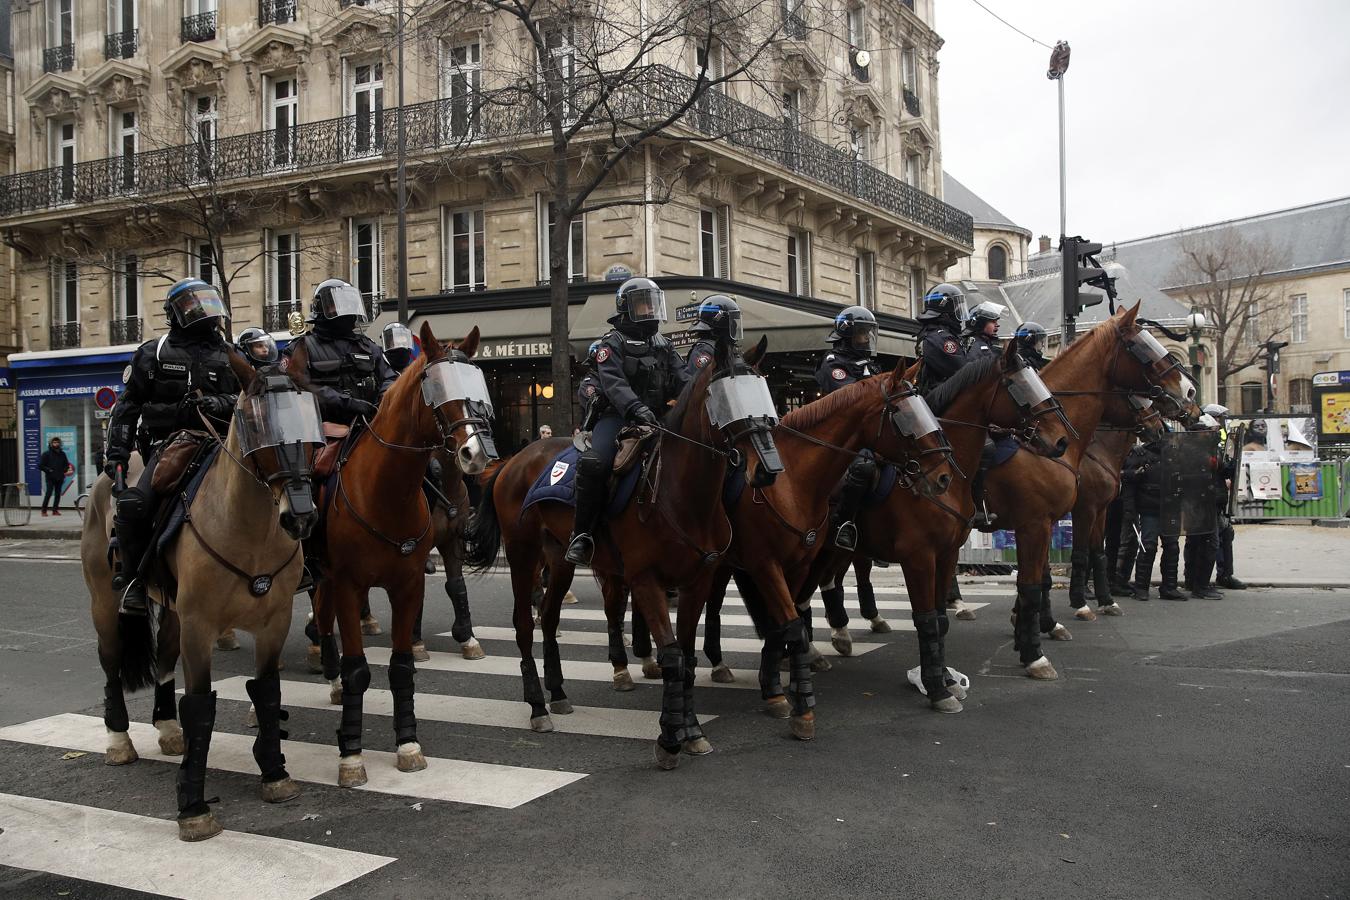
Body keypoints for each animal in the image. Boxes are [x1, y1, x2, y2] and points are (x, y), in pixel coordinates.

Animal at [81, 356, 321, 841]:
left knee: (163, 661)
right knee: (112, 666)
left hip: (173, 613)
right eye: (255, 423)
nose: (301, 517)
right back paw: (119, 739)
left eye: (309, 419)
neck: (249, 530)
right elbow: (200, 707)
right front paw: (193, 807)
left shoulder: (274, 622)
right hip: (106, 606)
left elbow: (267, 692)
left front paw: (274, 774)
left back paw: (167, 728)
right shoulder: (200, 627)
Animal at [292, 323, 494, 788]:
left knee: (322, 615)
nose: (476, 455)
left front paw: (408, 745)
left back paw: (327, 673)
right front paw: (351, 755)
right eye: (436, 388)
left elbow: (403, 664)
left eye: (477, 385)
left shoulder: (411, 578)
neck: (384, 490)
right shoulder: (349, 585)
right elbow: (359, 670)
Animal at [469, 335, 777, 766]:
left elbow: (686, 656)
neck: (681, 492)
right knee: (525, 624)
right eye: (725, 398)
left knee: (548, 618)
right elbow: (671, 656)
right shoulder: (645, 581)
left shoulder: (696, 581)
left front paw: (691, 731)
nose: (767, 468)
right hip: (521, 554)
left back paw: (558, 693)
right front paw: (669, 739)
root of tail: (513, 460)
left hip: (559, 560)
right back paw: (538, 708)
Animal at [799, 341, 1074, 707]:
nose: (1060, 441)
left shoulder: (948, 554)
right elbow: (926, 619)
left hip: (834, 552)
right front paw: (936, 688)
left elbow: (941, 619)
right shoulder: (919, 557)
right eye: (1018, 387)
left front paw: (945, 678)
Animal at [988, 306, 1198, 680]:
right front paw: (1072, 609)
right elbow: (1075, 557)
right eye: (1142, 347)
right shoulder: (1066, 514)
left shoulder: (1088, 512)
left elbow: (1091, 556)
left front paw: (1065, 615)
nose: (1189, 393)